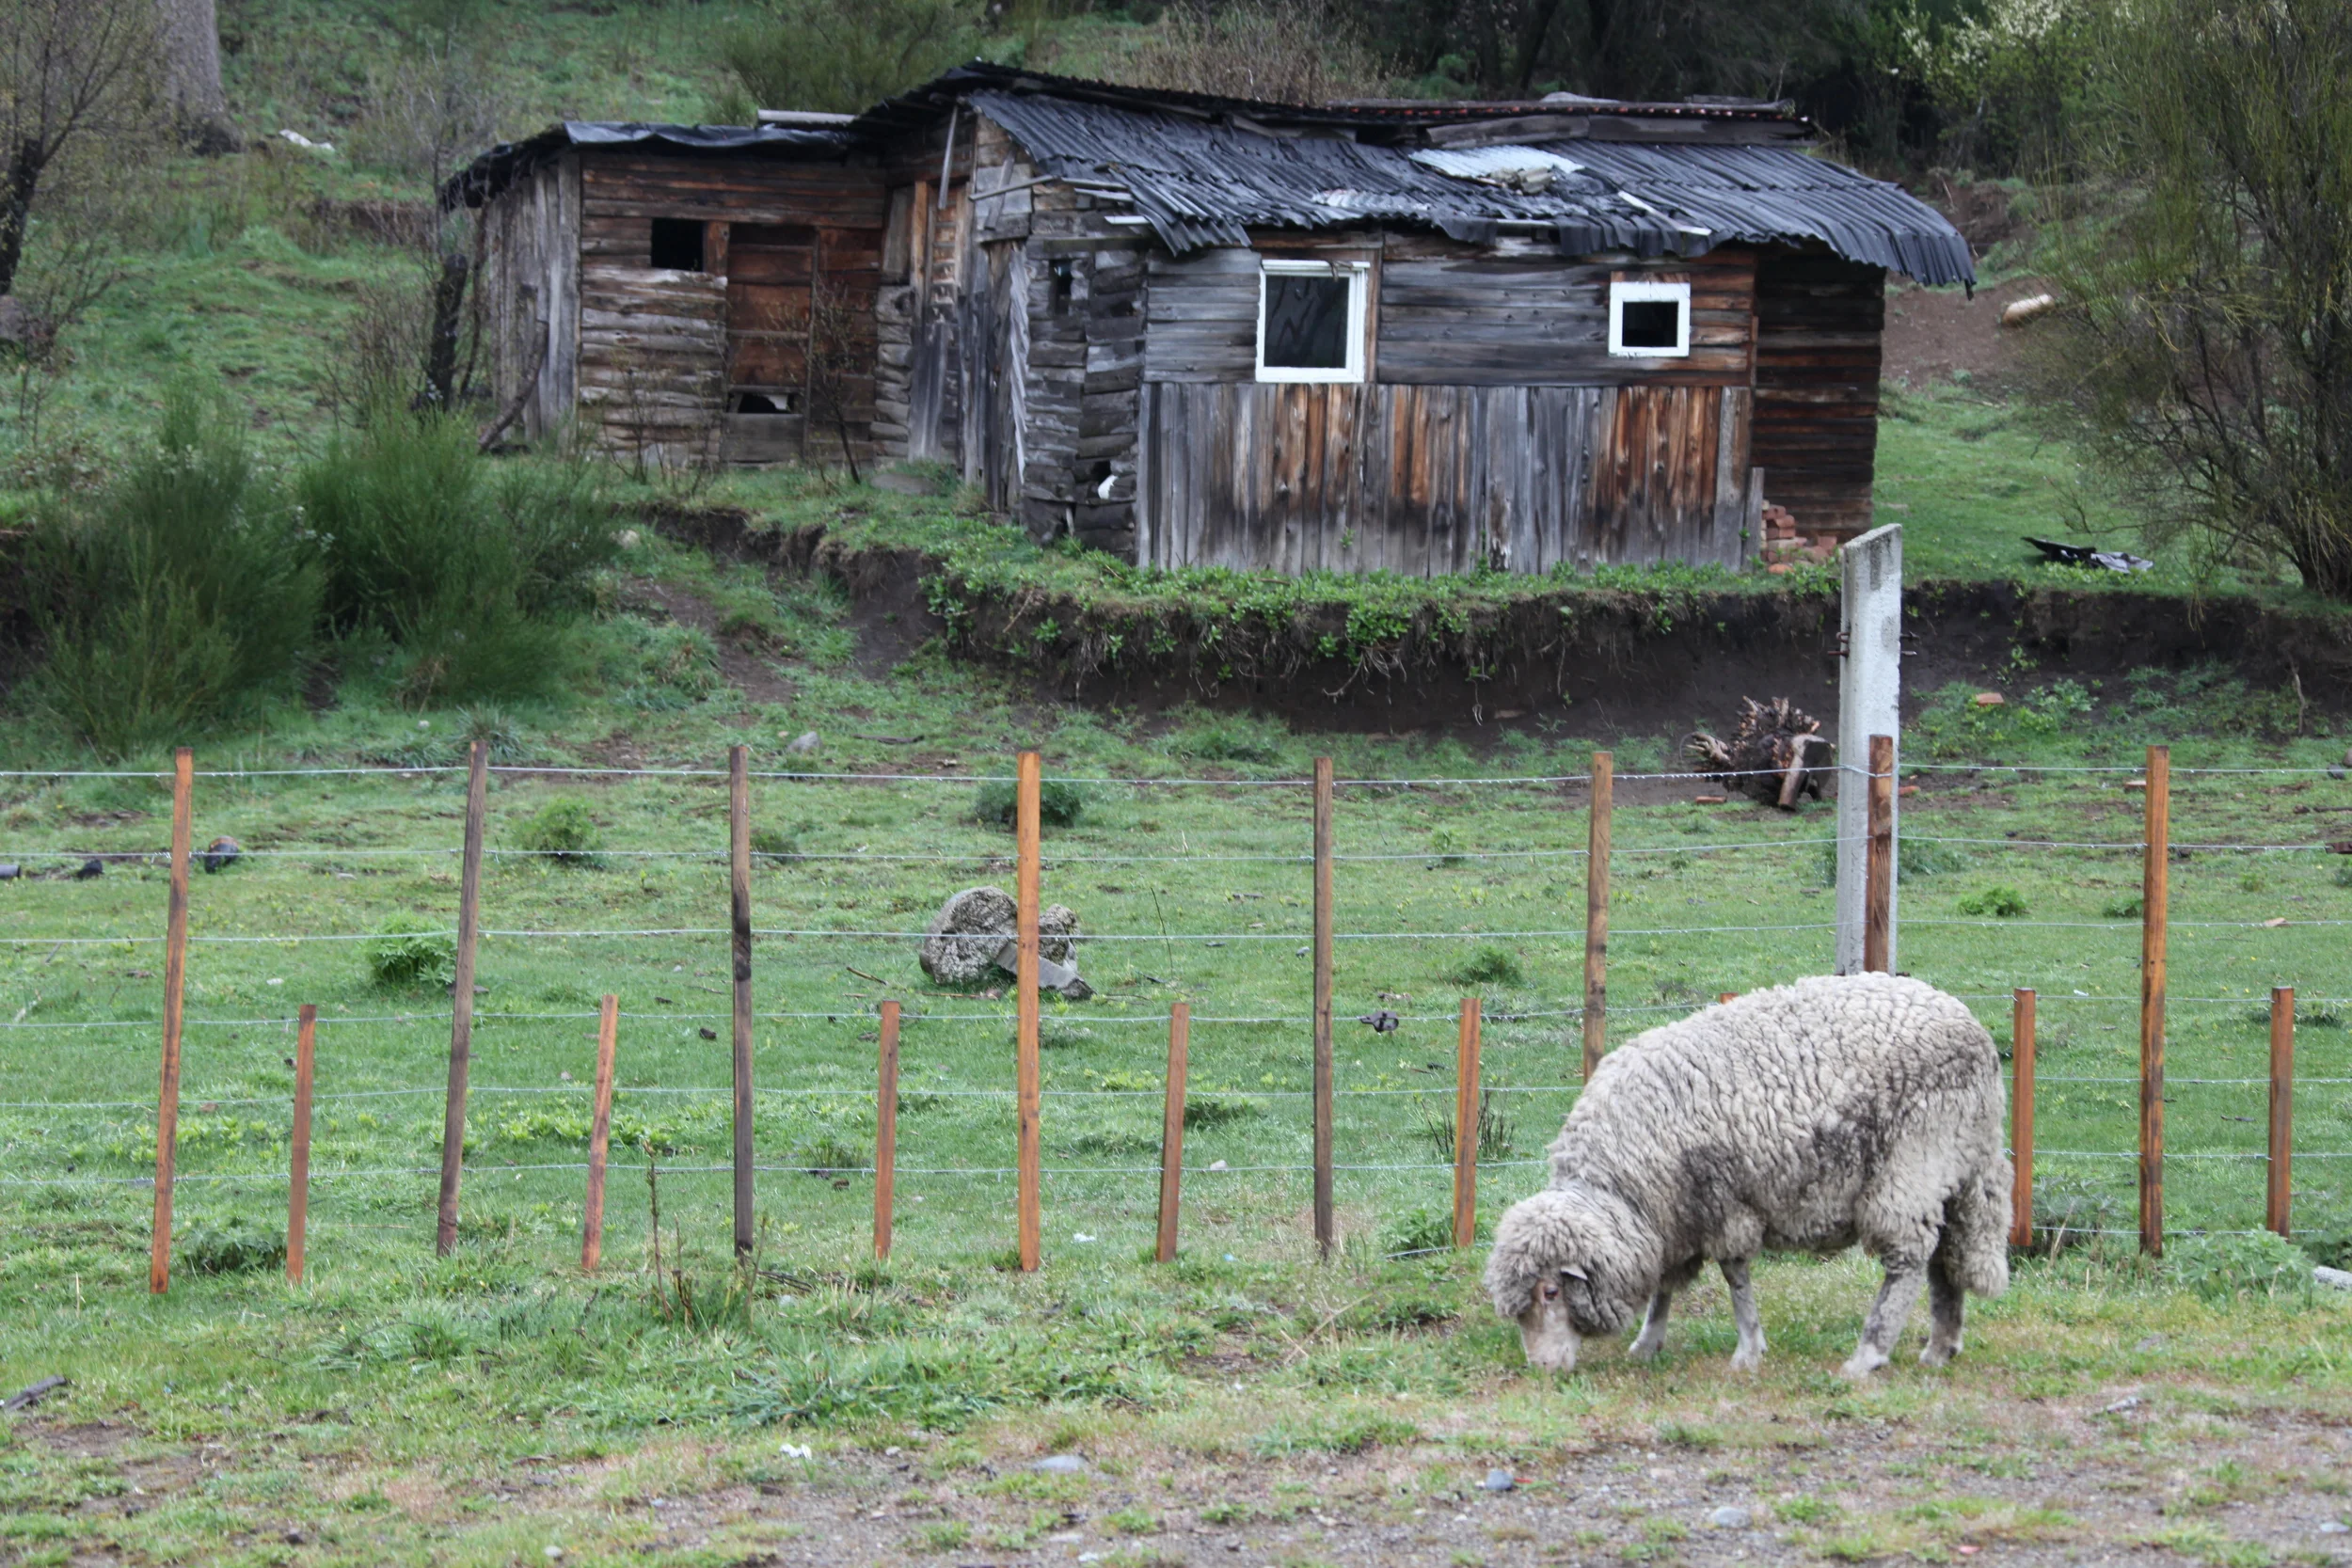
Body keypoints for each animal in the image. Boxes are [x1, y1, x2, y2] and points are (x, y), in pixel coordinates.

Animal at [1484, 973, 2011, 1378]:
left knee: (1908, 1260)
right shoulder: (1676, 1217)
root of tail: (1972, 1028)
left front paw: (1748, 1351)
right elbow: (1665, 1287)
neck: (1624, 1192)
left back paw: (1869, 1355)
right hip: (1951, 1171)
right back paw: (1940, 1348)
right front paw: (1647, 1344)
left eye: (1551, 1292)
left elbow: (1735, 1280)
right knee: (1945, 1256)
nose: (1542, 1368)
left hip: (1913, 1164)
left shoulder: (1724, 1205)